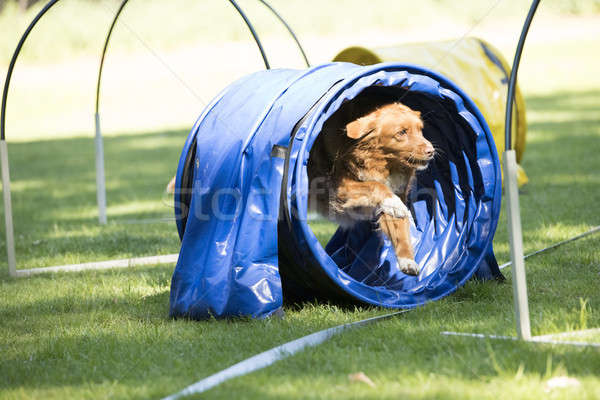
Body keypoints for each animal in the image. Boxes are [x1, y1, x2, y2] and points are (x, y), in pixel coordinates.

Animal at [308, 101, 434, 276]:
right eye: (402, 132)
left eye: (420, 130)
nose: (432, 151)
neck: (383, 163)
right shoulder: (340, 186)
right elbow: (375, 185)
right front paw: (392, 200)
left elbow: (399, 225)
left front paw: (407, 260)